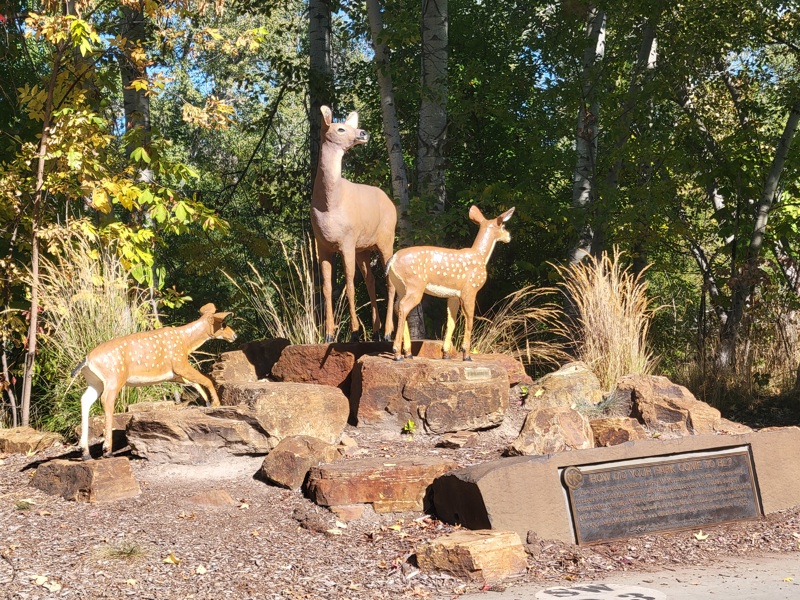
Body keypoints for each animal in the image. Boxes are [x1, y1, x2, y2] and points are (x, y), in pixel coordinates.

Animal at [71, 303, 237, 460]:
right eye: (223, 323)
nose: (234, 335)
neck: (185, 342)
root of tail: (87, 361)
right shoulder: (180, 363)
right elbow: (206, 379)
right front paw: (216, 403)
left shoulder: (173, 374)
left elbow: (193, 383)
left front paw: (207, 402)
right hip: (114, 377)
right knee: (106, 400)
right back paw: (107, 451)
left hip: (96, 382)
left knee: (85, 400)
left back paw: (85, 452)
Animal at [311, 105, 397, 343]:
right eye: (340, 128)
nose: (363, 133)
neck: (330, 205)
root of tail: (391, 203)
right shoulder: (322, 244)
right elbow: (327, 287)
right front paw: (329, 334)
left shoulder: (347, 240)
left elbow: (349, 285)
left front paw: (355, 332)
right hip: (364, 249)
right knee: (370, 281)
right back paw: (376, 332)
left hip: (386, 238)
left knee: (389, 281)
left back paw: (388, 333)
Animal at [386, 205, 515, 361]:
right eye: (503, 226)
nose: (509, 236)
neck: (480, 256)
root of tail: (392, 260)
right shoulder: (470, 290)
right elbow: (469, 320)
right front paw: (467, 355)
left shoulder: (453, 295)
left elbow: (451, 321)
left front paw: (446, 353)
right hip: (414, 285)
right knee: (403, 306)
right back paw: (397, 354)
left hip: (401, 287)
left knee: (398, 307)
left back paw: (408, 353)